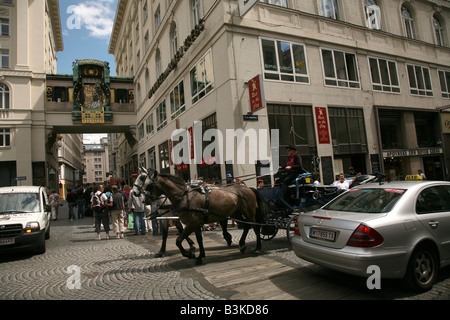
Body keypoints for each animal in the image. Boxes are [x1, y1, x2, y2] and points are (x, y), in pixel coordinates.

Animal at [134, 168, 270, 264]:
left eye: (147, 183)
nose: (144, 199)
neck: (184, 197)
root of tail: (248, 188)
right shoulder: (193, 223)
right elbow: (198, 239)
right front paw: (199, 255)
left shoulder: (192, 223)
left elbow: (179, 240)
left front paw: (190, 253)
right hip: (236, 213)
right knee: (246, 226)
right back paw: (241, 244)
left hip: (249, 213)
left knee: (255, 227)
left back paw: (257, 248)